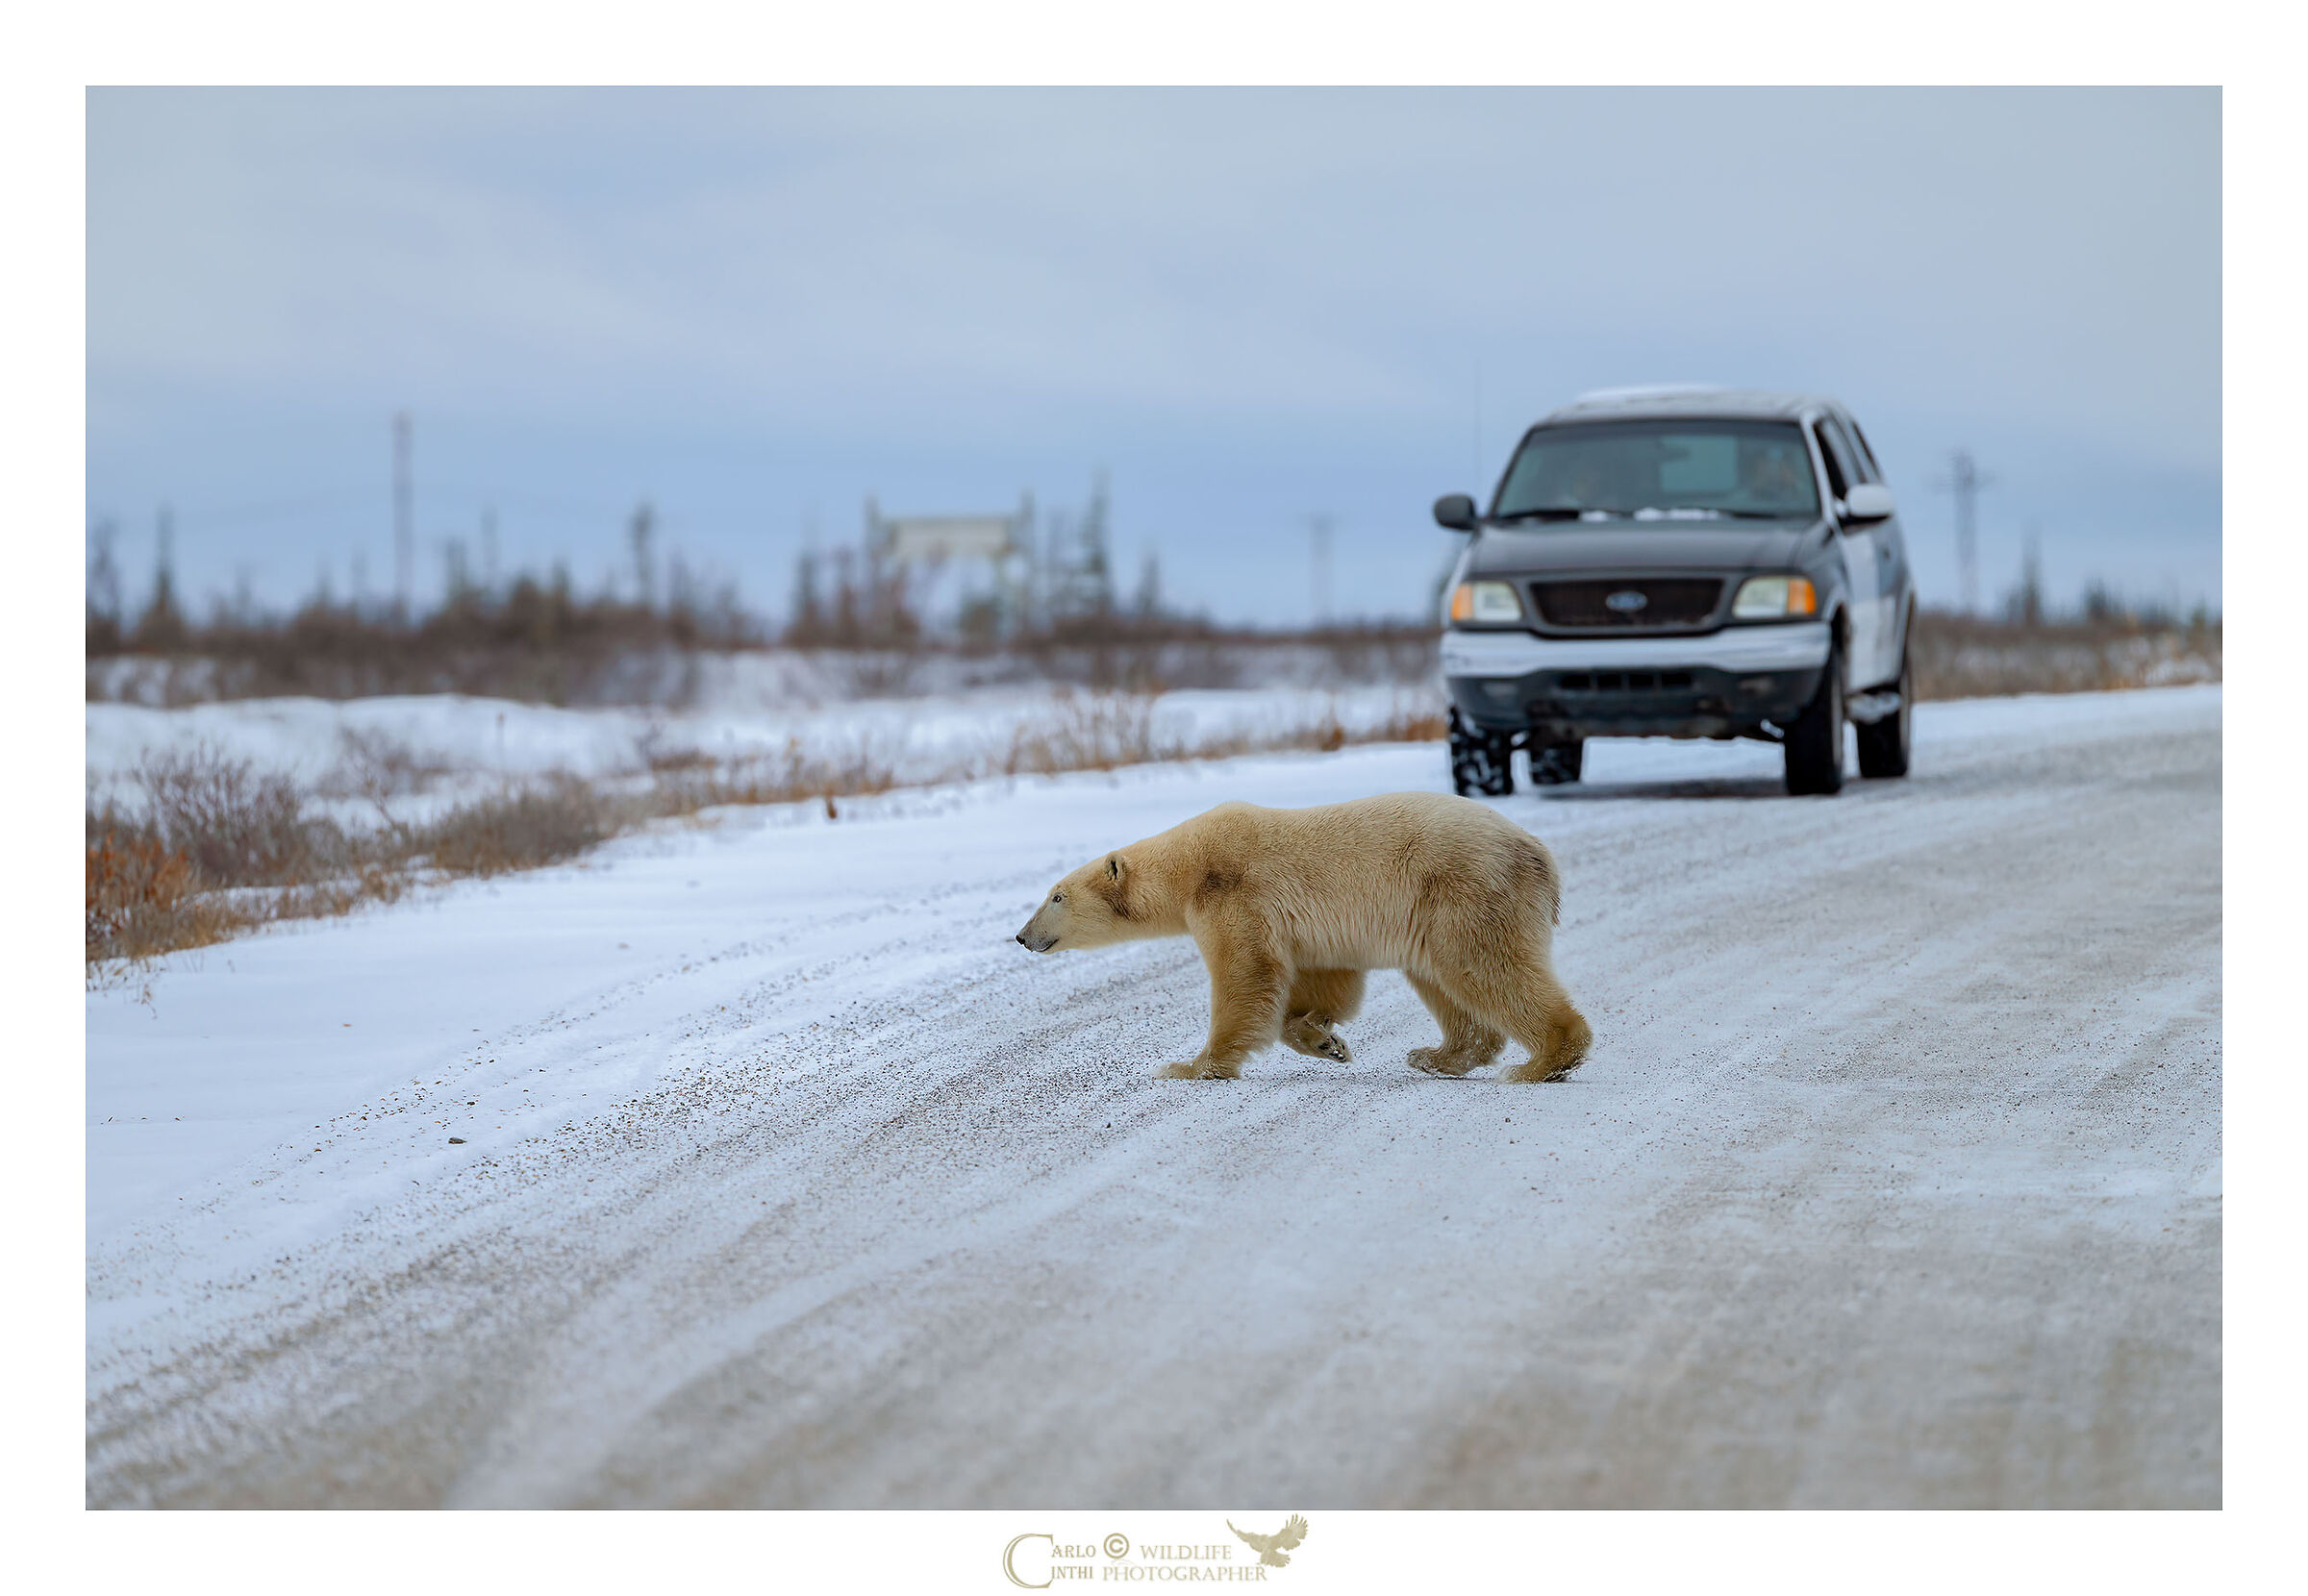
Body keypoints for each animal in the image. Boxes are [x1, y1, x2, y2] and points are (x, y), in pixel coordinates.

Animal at [1014, 791, 1591, 1082]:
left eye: (1056, 896)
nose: (1021, 936)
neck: (1188, 865)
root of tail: (1540, 855)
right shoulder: (1308, 929)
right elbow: (1326, 979)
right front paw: (1325, 1041)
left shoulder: (1231, 893)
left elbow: (1246, 974)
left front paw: (1189, 1067)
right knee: (1441, 978)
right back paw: (1438, 1056)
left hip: (1463, 889)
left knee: (1483, 966)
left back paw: (1544, 1061)